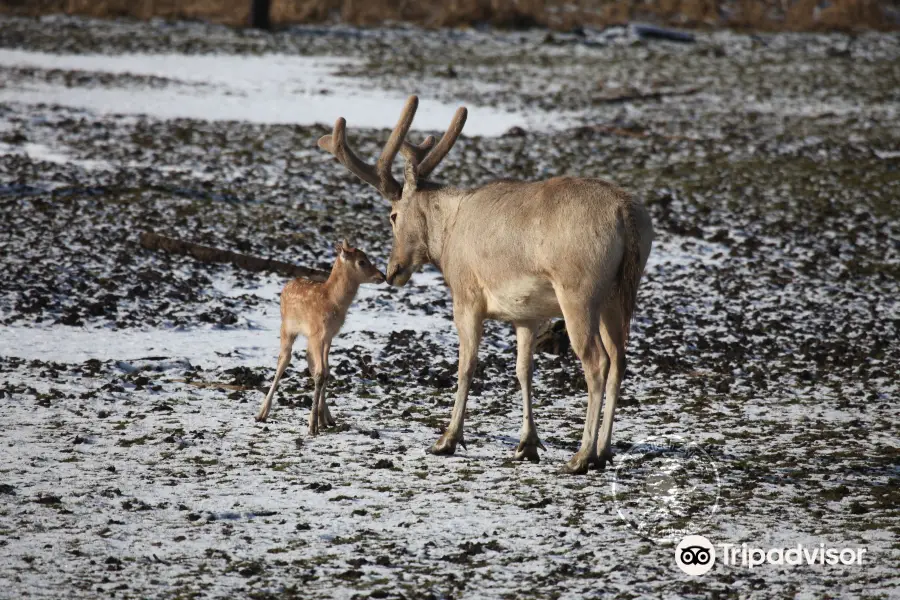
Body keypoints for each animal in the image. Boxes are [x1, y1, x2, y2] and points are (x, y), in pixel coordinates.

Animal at [318, 96, 652, 474]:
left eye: (393, 215)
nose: (393, 271)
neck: (448, 238)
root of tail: (626, 215)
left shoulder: (466, 295)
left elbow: (466, 366)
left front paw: (447, 439)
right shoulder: (526, 314)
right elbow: (523, 370)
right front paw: (527, 444)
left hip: (579, 292)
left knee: (597, 362)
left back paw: (582, 456)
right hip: (619, 294)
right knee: (620, 359)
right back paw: (605, 450)